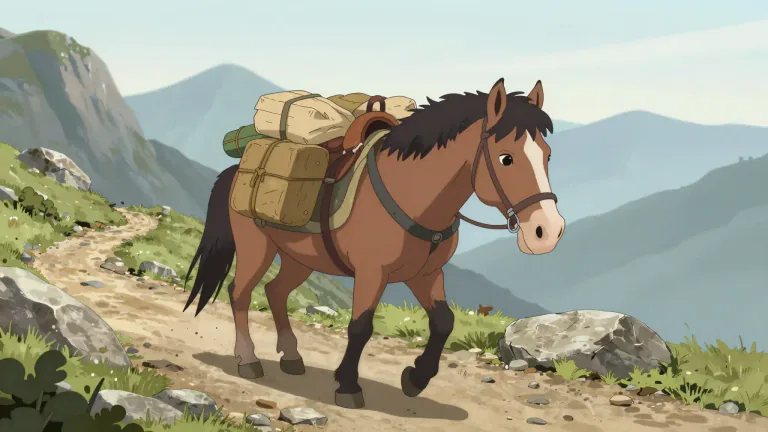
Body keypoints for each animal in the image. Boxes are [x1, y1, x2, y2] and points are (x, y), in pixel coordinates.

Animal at [183, 78, 565, 409]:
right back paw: (248, 360)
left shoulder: (426, 274)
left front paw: (415, 378)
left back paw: (292, 357)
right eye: (506, 158)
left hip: (299, 259)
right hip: (257, 248)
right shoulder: (371, 273)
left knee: (275, 292)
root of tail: (236, 169)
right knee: (240, 294)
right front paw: (348, 386)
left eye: (547, 154)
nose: (546, 231)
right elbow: (360, 326)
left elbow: (443, 321)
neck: (412, 194)